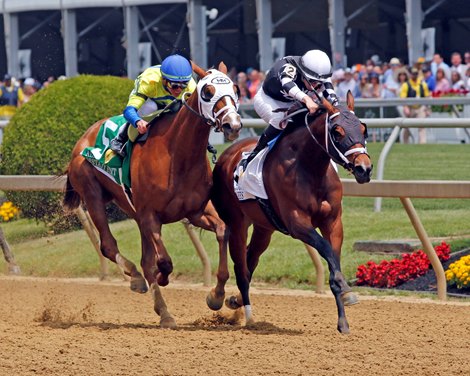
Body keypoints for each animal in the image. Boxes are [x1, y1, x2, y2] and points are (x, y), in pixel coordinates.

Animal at [63, 61, 242, 326]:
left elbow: (223, 231)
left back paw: (164, 311)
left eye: (235, 89)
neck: (177, 155)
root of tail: (82, 139)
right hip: (92, 195)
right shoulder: (150, 216)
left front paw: (217, 296)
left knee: (144, 261)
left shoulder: (196, 211)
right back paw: (137, 280)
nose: (234, 125)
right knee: (109, 246)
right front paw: (162, 278)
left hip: (133, 212)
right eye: (208, 91)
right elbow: (164, 262)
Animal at [208, 92, 370, 334]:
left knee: (250, 260)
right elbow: (325, 249)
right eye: (337, 131)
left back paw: (234, 300)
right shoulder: (297, 223)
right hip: (236, 223)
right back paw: (247, 316)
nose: (364, 169)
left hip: (264, 228)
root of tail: (227, 155)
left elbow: (333, 258)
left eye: (363, 128)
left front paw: (343, 318)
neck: (310, 169)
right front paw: (344, 287)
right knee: (241, 269)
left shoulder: (333, 222)